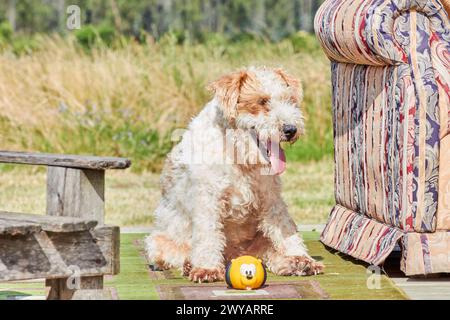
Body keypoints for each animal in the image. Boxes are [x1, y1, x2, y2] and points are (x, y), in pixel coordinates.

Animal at [146, 66, 326, 282]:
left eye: (290, 100)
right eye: (262, 101)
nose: (291, 129)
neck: (239, 157)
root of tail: (236, 255)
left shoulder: (271, 198)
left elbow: (287, 230)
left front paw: (302, 258)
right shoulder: (208, 199)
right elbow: (207, 235)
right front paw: (207, 269)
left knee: (271, 253)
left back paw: (295, 263)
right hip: (157, 241)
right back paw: (190, 265)